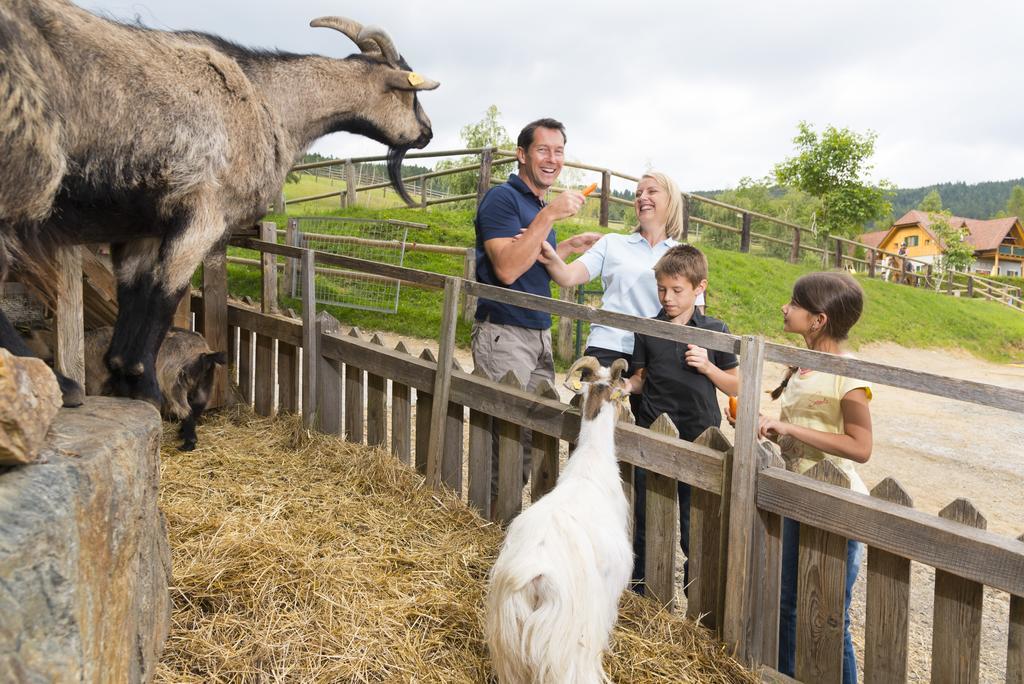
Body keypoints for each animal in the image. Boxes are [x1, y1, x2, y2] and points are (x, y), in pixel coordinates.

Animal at [0, 0, 436, 405]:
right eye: (410, 92)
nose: (428, 132)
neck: (268, 100)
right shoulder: (205, 213)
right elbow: (166, 292)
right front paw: (146, 386)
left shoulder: (143, 228)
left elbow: (133, 289)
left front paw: (122, 375)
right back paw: (61, 385)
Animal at [86, 325, 226, 448]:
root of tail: (203, 354)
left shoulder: (96, 382)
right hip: (203, 384)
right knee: (198, 406)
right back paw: (183, 434)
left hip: (174, 382)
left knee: (186, 410)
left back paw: (188, 444)